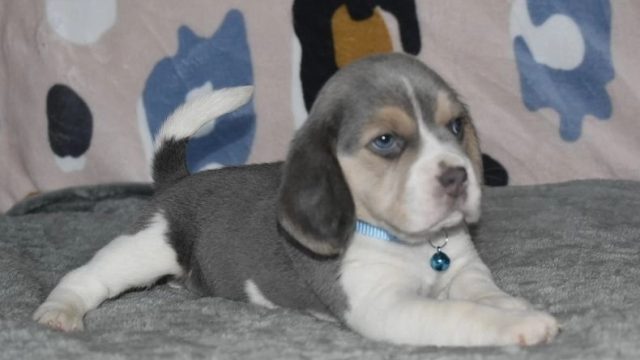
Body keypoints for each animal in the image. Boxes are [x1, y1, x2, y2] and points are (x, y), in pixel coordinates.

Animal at [33, 52, 556, 346]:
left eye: (456, 127)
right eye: (386, 141)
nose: (457, 176)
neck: (412, 246)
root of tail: (177, 180)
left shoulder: (465, 270)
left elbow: (487, 295)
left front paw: (515, 308)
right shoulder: (383, 306)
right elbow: (463, 313)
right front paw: (521, 328)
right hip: (144, 249)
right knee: (86, 277)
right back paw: (60, 312)